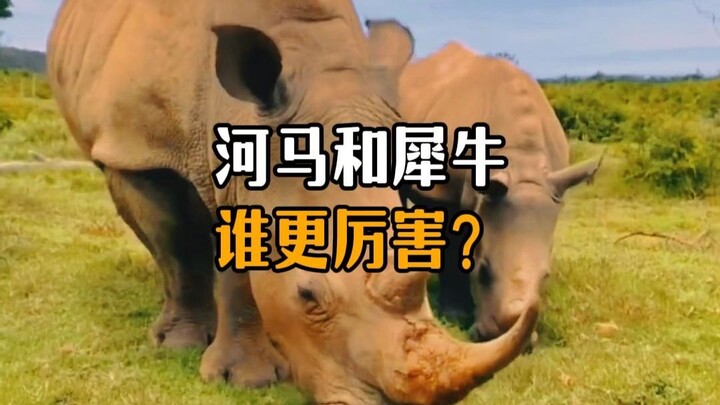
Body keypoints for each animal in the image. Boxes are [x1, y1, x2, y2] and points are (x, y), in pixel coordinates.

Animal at [394, 42, 603, 345]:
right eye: (482, 271)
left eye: (546, 276)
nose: (506, 335)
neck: (521, 158)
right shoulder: (444, 194)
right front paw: (455, 315)